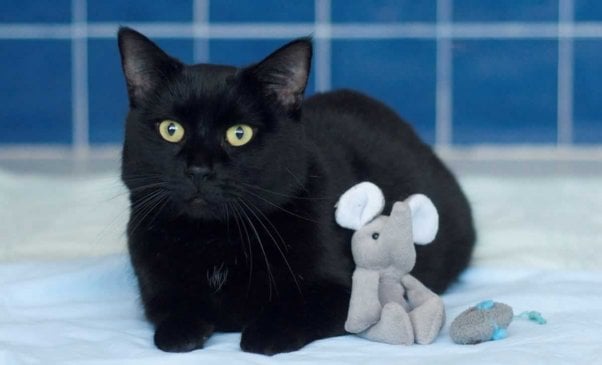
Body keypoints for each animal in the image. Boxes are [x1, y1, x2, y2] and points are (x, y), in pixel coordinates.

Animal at [116, 28, 474, 356]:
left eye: (239, 134)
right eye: (171, 129)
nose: (199, 169)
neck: (214, 239)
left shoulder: (347, 292)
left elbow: (298, 308)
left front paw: (265, 333)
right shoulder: (153, 283)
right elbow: (172, 308)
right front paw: (180, 330)